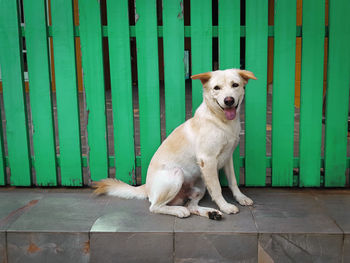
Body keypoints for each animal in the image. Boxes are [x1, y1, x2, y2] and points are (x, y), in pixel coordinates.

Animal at [94, 68, 256, 221]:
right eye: (216, 88)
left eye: (235, 85)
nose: (229, 100)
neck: (221, 121)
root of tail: (146, 187)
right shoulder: (208, 160)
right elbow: (217, 189)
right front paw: (225, 206)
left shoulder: (228, 157)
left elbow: (233, 181)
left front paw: (240, 198)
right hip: (177, 174)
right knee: (155, 207)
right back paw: (180, 211)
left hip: (200, 185)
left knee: (191, 206)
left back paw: (211, 213)